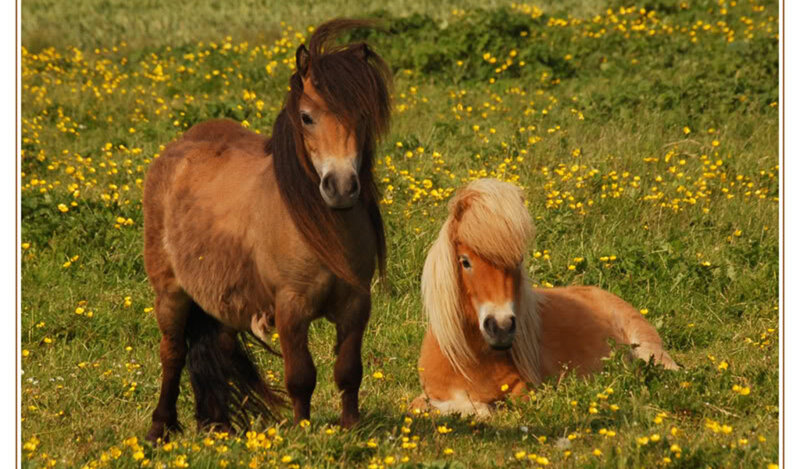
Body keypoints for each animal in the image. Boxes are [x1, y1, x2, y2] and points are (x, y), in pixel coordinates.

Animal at [142, 19, 391, 443]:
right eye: (307, 117)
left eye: (362, 115)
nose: (341, 187)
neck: (319, 227)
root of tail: (175, 150)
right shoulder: (290, 308)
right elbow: (301, 377)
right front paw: (303, 432)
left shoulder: (356, 305)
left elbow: (348, 372)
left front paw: (351, 428)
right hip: (171, 293)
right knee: (172, 352)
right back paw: (161, 427)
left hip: (221, 299)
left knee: (217, 347)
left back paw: (218, 427)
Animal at [410, 179, 678, 417]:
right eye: (465, 262)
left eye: (518, 262)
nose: (501, 327)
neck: (468, 360)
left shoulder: (526, 391)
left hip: (651, 353)